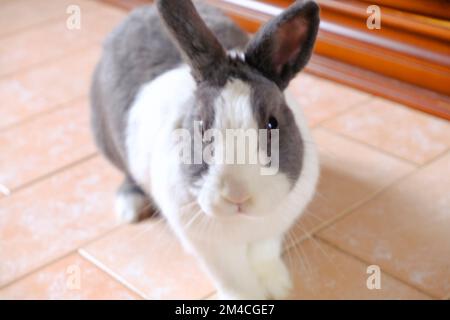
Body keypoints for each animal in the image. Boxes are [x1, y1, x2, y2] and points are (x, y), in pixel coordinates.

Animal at [90, 0, 320, 300]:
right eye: (200, 126)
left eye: (273, 123)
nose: (237, 195)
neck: (243, 222)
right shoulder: (211, 248)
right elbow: (236, 279)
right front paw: (252, 298)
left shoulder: (271, 229)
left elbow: (263, 255)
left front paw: (279, 288)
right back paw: (130, 208)